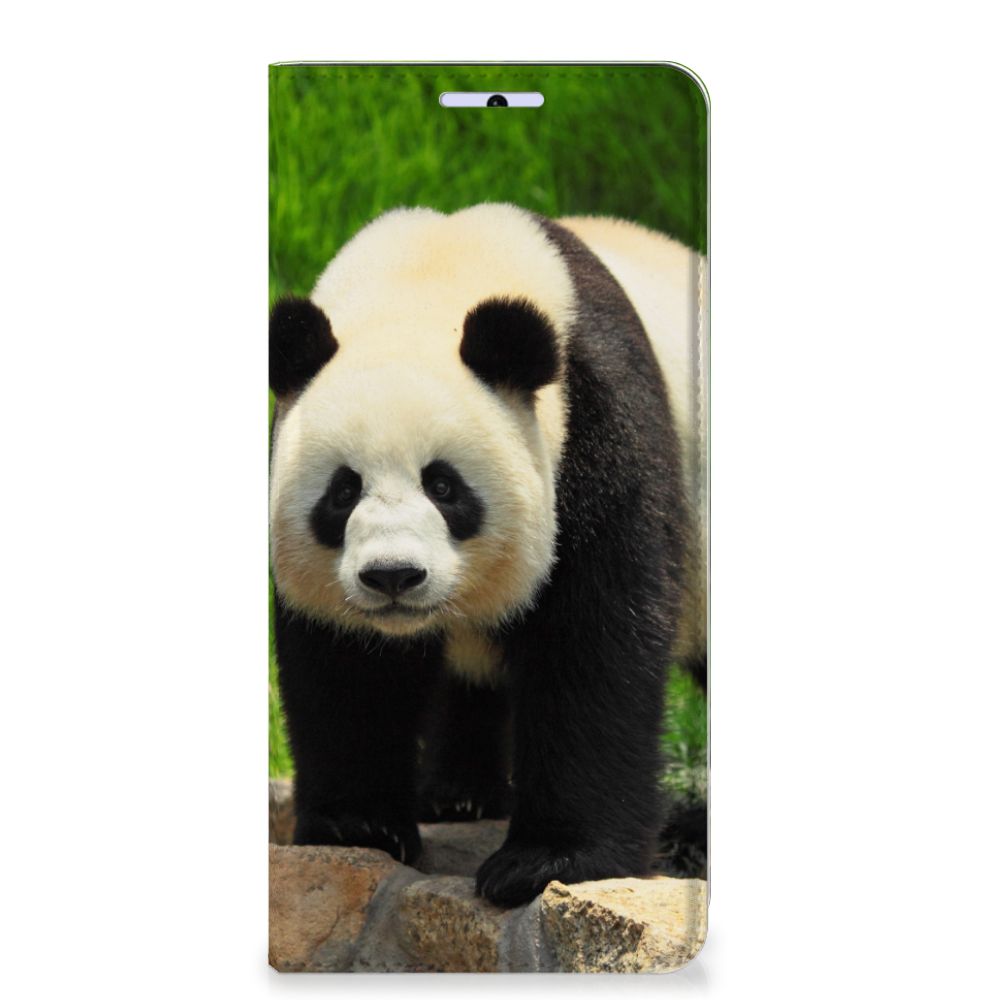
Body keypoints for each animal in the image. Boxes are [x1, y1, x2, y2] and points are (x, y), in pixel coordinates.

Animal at [269, 203, 707, 907]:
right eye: (342, 491)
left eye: (444, 486)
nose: (393, 576)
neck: (427, 279)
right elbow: (347, 667)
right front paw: (357, 826)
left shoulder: (597, 427)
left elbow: (595, 641)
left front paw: (548, 861)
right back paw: (458, 795)